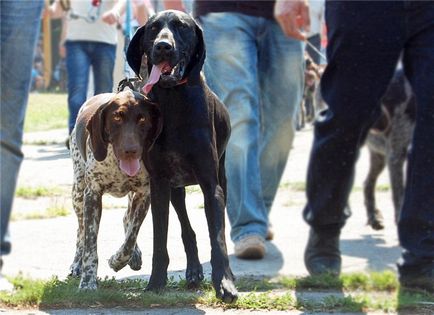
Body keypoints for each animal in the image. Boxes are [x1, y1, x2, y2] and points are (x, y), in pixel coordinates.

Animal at [69, 90, 161, 290]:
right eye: (117, 117)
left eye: (142, 119)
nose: (131, 150)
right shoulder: (92, 195)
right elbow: (89, 244)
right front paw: (87, 282)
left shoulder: (144, 195)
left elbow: (130, 237)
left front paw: (118, 260)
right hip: (78, 192)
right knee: (80, 231)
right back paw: (76, 264)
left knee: (127, 219)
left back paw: (134, 255)